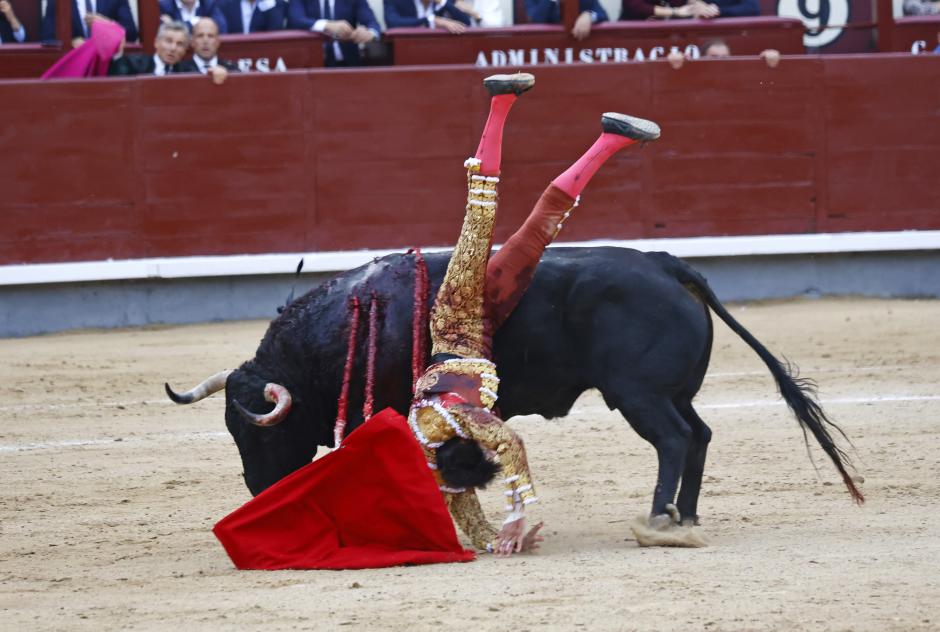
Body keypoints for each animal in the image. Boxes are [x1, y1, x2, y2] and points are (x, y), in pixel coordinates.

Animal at [167, 247, 860, 524]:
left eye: (257, 434)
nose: (258, 487)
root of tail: (665, 265)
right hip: (674, 391)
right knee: (700, 435)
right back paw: (685, 513)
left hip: (639, 395)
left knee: (672, 439)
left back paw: (661, 515)